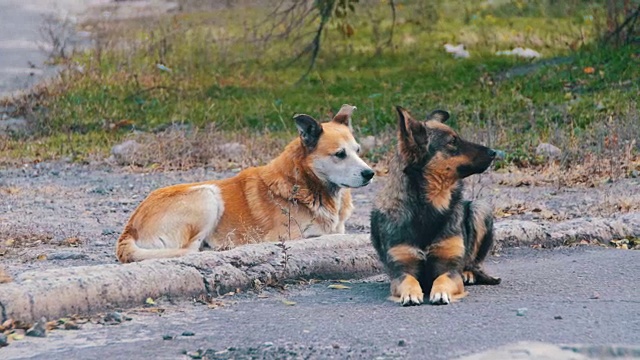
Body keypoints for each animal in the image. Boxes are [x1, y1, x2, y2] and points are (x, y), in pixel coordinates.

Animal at [370, 105, 500, 306]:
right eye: (452, 141)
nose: (494, 152)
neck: (428, 207)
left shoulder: (449, 267)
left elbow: (443, 278)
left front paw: (440, 292)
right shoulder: (401, 269)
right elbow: (409, 280)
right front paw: (410, 293)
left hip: (480, 208)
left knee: (473, 261)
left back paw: (469, 273)